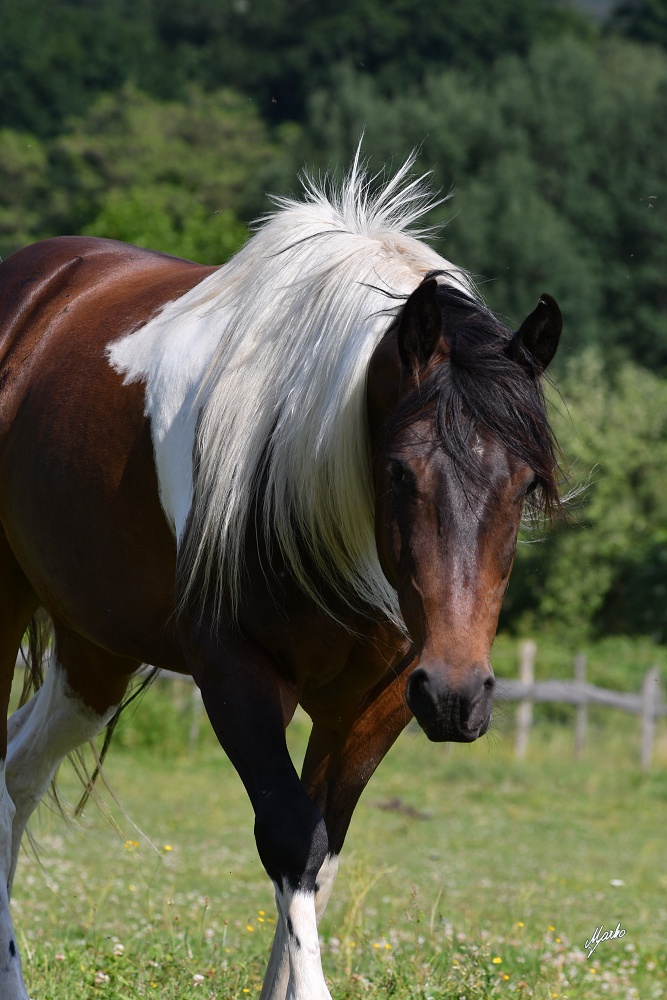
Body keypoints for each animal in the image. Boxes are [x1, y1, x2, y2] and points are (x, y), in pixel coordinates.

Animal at [0, 160, 564, 996]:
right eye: (397, 472)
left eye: (524, 484)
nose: (457, 697)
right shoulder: (236, 671)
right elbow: (292, 838)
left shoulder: (377, 698)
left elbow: (322, 854)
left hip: (93, 652)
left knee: (18, 775)